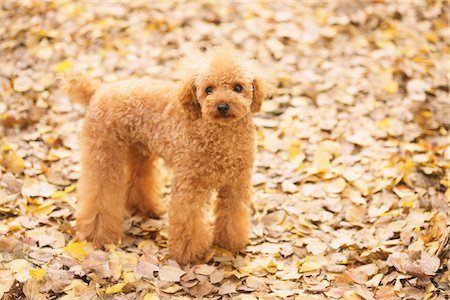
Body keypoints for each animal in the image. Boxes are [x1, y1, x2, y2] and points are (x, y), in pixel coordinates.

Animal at [62, 45, 268, 264]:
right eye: (208, 89)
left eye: (238, 87)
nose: (222, 106)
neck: (221, 136)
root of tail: (96, 92)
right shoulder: (189, 186)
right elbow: (188, 222)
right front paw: (188, 254)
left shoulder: (236, 185)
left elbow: (233, 215)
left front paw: (229, 244)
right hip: (103, 153)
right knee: (99, 194)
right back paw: (97, 236)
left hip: (138, 150)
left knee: (138, 178)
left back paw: (144, 208)